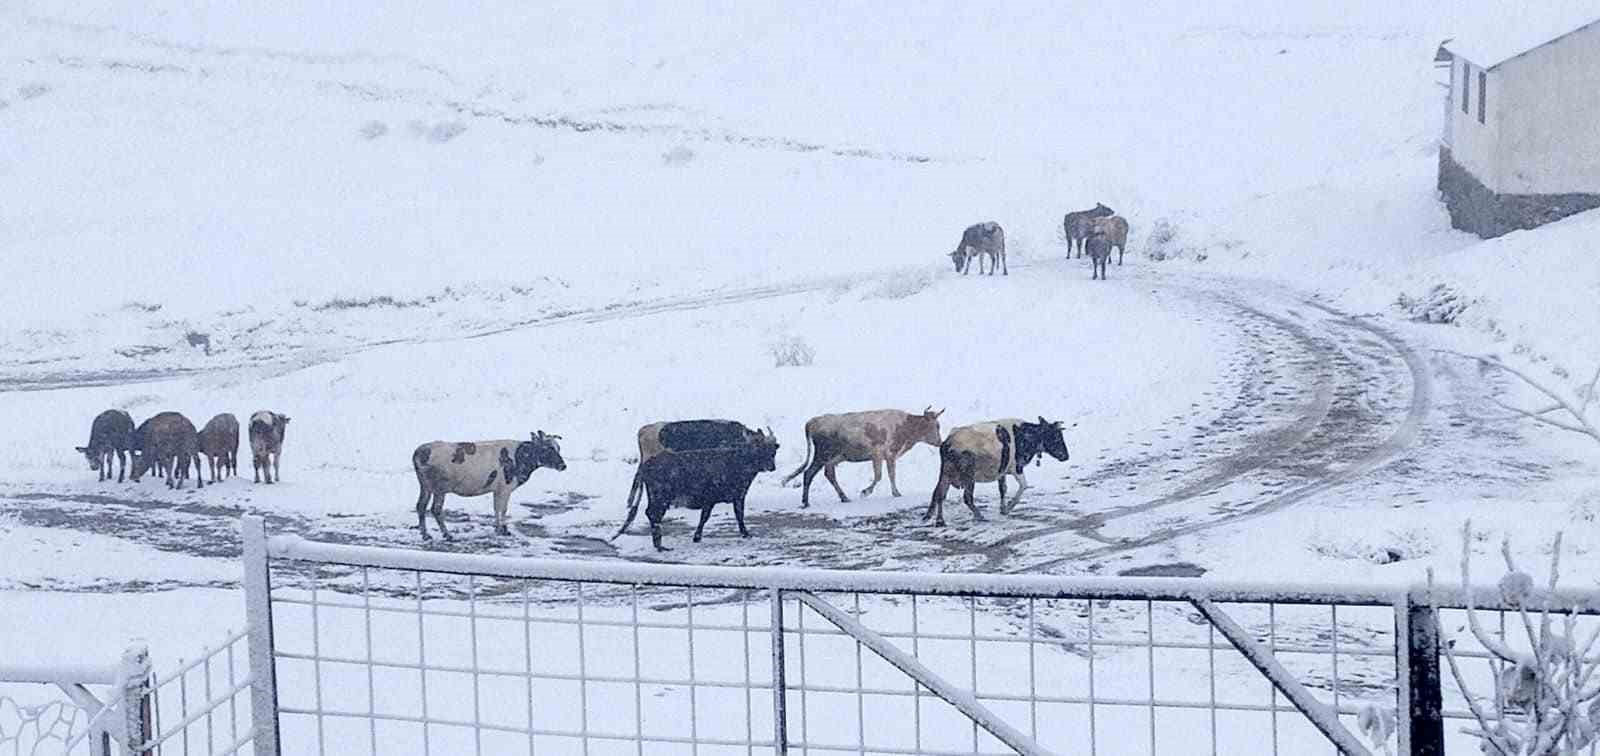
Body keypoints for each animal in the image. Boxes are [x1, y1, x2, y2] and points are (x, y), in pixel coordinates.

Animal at [412, 429, 569, 541]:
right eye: (547, 448)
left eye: (558, 448)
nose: (563, 465)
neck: (520, 458)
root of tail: (422, 450)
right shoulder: (505, 488)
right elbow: (503, 509)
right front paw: (504, 530)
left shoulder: (497, 489)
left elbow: (496, 508)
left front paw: (498, 529)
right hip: (440, 488)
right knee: (436, 509)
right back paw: (447, 535)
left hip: (425, 486)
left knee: (421, 506)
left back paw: (425, 535)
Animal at [611, 435, 780, 550]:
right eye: (760, 450)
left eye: (772, 452)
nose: (772, 467)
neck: (738, 461)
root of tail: (648, 463)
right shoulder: (722, 498)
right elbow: (711, 517)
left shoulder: (733, 497)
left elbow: (735, 515)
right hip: (661, 497)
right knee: (653, 514)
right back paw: (659, 546)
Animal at [780, 406, 940, 509]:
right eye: (935, 426)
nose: (939, 442)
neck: (904, 426)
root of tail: (813, 421)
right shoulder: (878, 454)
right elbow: (879, 476)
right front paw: (865, 492)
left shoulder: (890, 456)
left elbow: (891, 475)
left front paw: (896, 493)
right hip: (822, 455)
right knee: (808, 473)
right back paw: (806, 502)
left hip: (833, 458)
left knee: (829, 474)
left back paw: (844, 498)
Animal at [921, 419, 1068, 525]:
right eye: (1056, 436)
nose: (1066, 456)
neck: (1024, 436)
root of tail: (948, 442)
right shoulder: (1017, 467)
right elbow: (1024, 486)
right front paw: (1009, 507)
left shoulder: (1001, 471)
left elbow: (1003, 489)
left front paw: (1003, 509)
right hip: (968, 475)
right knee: (966, 497)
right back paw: (979, 516)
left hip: (945, 472)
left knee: (939, 493)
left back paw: (936, 519)